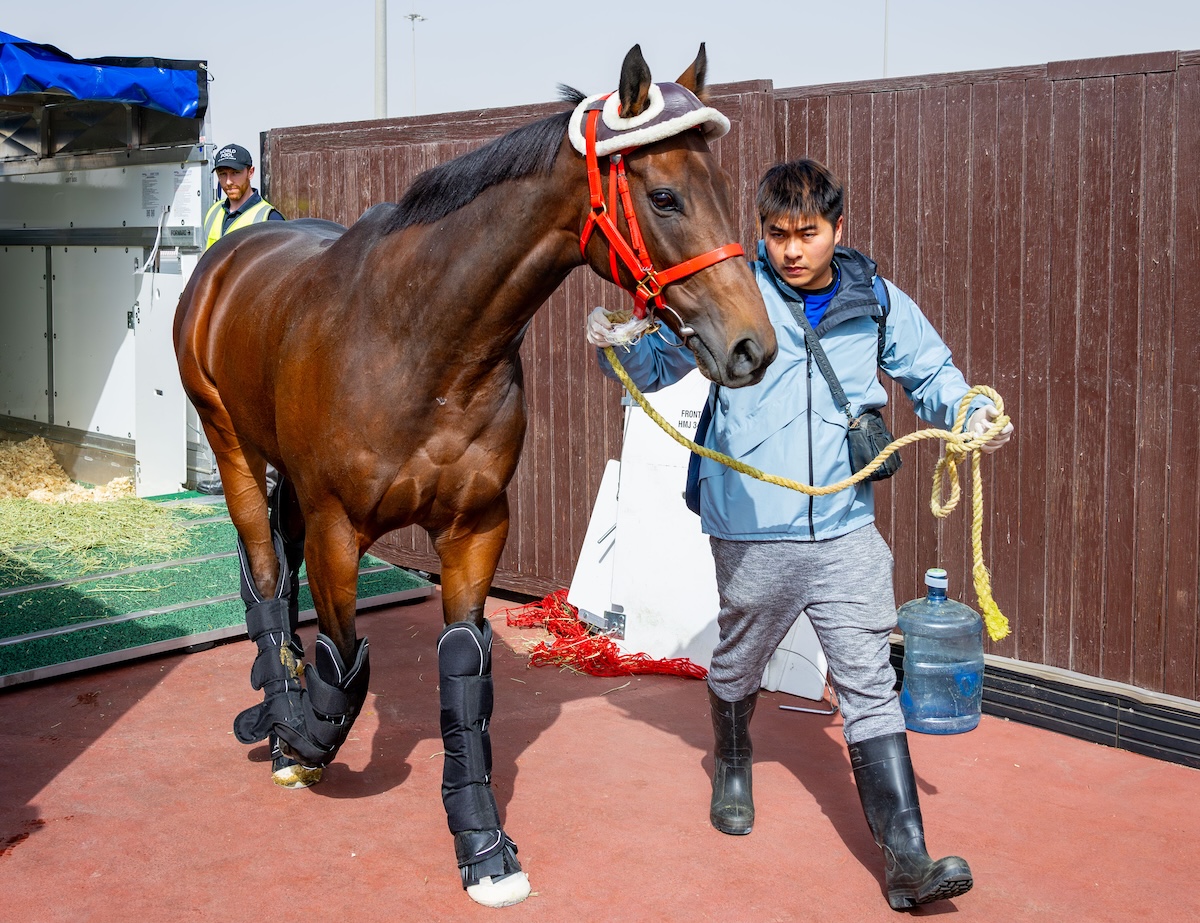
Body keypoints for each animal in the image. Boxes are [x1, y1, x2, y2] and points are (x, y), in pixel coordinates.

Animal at [175, 45, 777, 907]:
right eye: (663, 195)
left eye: (725, 190)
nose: (751, 345)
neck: (421, 341)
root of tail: (225, 259)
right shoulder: (337, 527)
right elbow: (344, 664)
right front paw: (300, 736)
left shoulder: (476, 527)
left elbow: (462, 665)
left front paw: (483, 843)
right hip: (229, 442)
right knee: (261, 570)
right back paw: (277, 707)